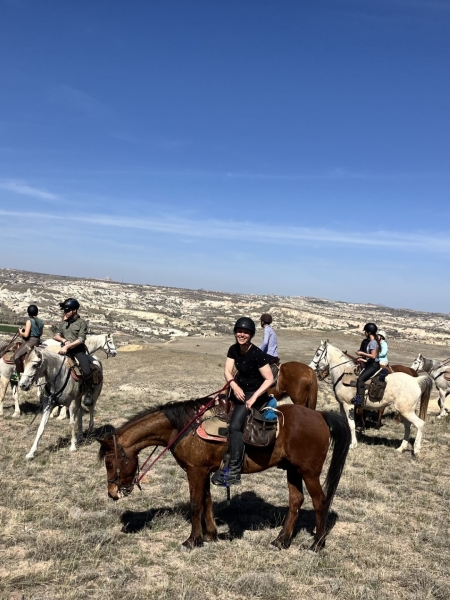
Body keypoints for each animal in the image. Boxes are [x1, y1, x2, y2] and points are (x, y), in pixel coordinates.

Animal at [98, 398, 352, 552]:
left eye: (109, 462)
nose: (111, 493)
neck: (184, 428)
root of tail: (320, 416)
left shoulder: (195, 471)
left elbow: (195, 504)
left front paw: (192, 540)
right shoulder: (203, 471)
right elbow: (207, 502)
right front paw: (210, 534)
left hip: (309, 472)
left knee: (320, 502)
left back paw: (317, 544)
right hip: (293, 470)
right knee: (296, 501)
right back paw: (282, 540)